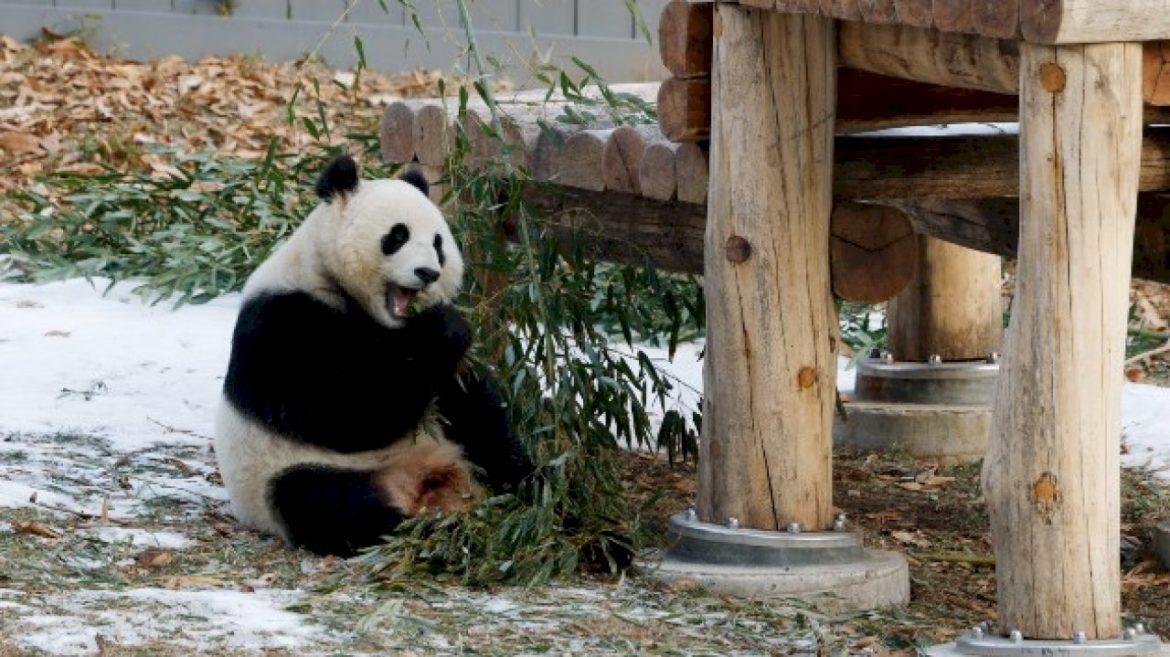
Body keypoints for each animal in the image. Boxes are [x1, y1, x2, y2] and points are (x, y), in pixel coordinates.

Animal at [212, 153, 533, 551]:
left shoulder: (445, 378)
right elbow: (343, 412)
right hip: (287, 474)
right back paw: (433, 533)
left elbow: (474, 401)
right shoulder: (282, 321)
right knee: (323, 502)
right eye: (398, 236)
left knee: (492, 445)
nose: (427, 272)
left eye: (438, 243)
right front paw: (444, 327)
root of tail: (419, 481)